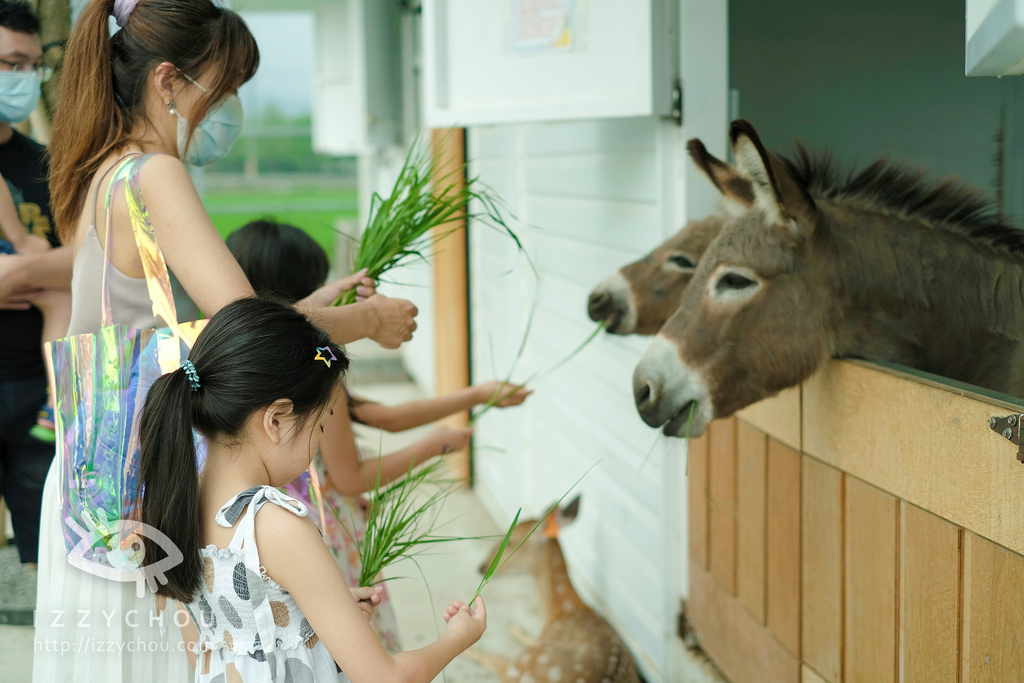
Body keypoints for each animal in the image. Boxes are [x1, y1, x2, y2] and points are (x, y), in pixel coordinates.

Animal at [468, 497, 638, 683]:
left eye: (510, 541)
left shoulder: (520, 666)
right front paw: (515, 629)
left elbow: (491, 656)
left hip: (529, 666)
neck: (560, 612)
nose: (482, 567)